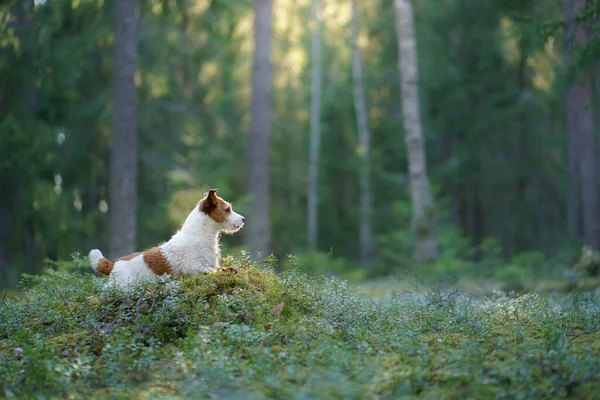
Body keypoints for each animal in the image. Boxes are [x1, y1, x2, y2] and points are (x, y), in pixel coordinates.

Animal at [87, 189, 246, 290]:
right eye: (227, 210)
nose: (244, 219)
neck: (199, 235)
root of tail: (113, 264)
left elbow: (219, 269)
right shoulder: (192, 267)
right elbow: (211, 271)